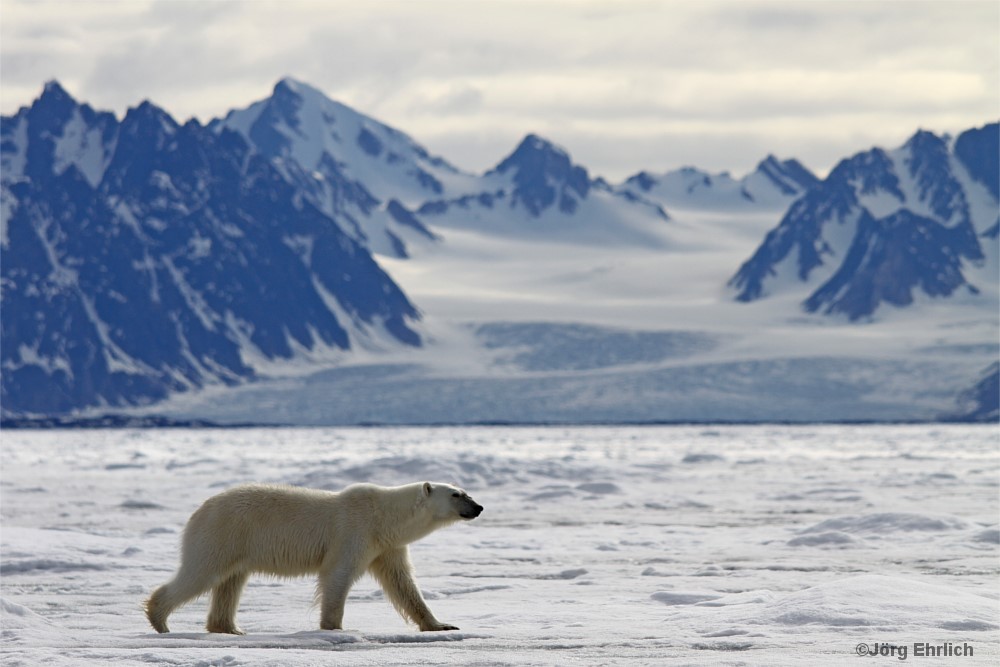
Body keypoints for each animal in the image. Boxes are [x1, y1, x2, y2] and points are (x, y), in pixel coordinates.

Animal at [143, 482, 482, 636]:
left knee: (230, 582)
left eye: (465, 491)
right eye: (456, 494)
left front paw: (442, 625)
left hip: (236, 544)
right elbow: (338, 575)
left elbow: (403, 584)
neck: (383, 517)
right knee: (202, 573)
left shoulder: (386, 547)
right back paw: (160, 620)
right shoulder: (354, 532)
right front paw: (333, 628)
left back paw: (229, 628)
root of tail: (199, 510)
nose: (478, 507)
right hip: (223, 534)